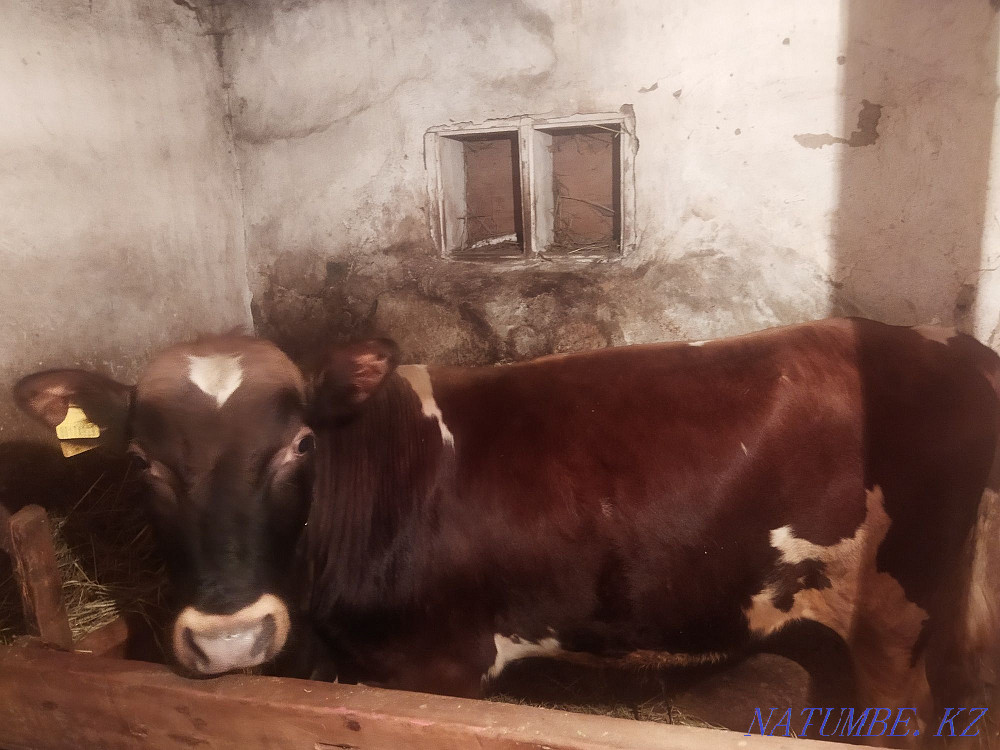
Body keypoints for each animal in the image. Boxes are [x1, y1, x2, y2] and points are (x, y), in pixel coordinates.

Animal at [13, 318, 1000, 741]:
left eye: (298, 445)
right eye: (143, 462)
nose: (229, 637)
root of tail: (952, 345)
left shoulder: (440, 668)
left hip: (894, 611)